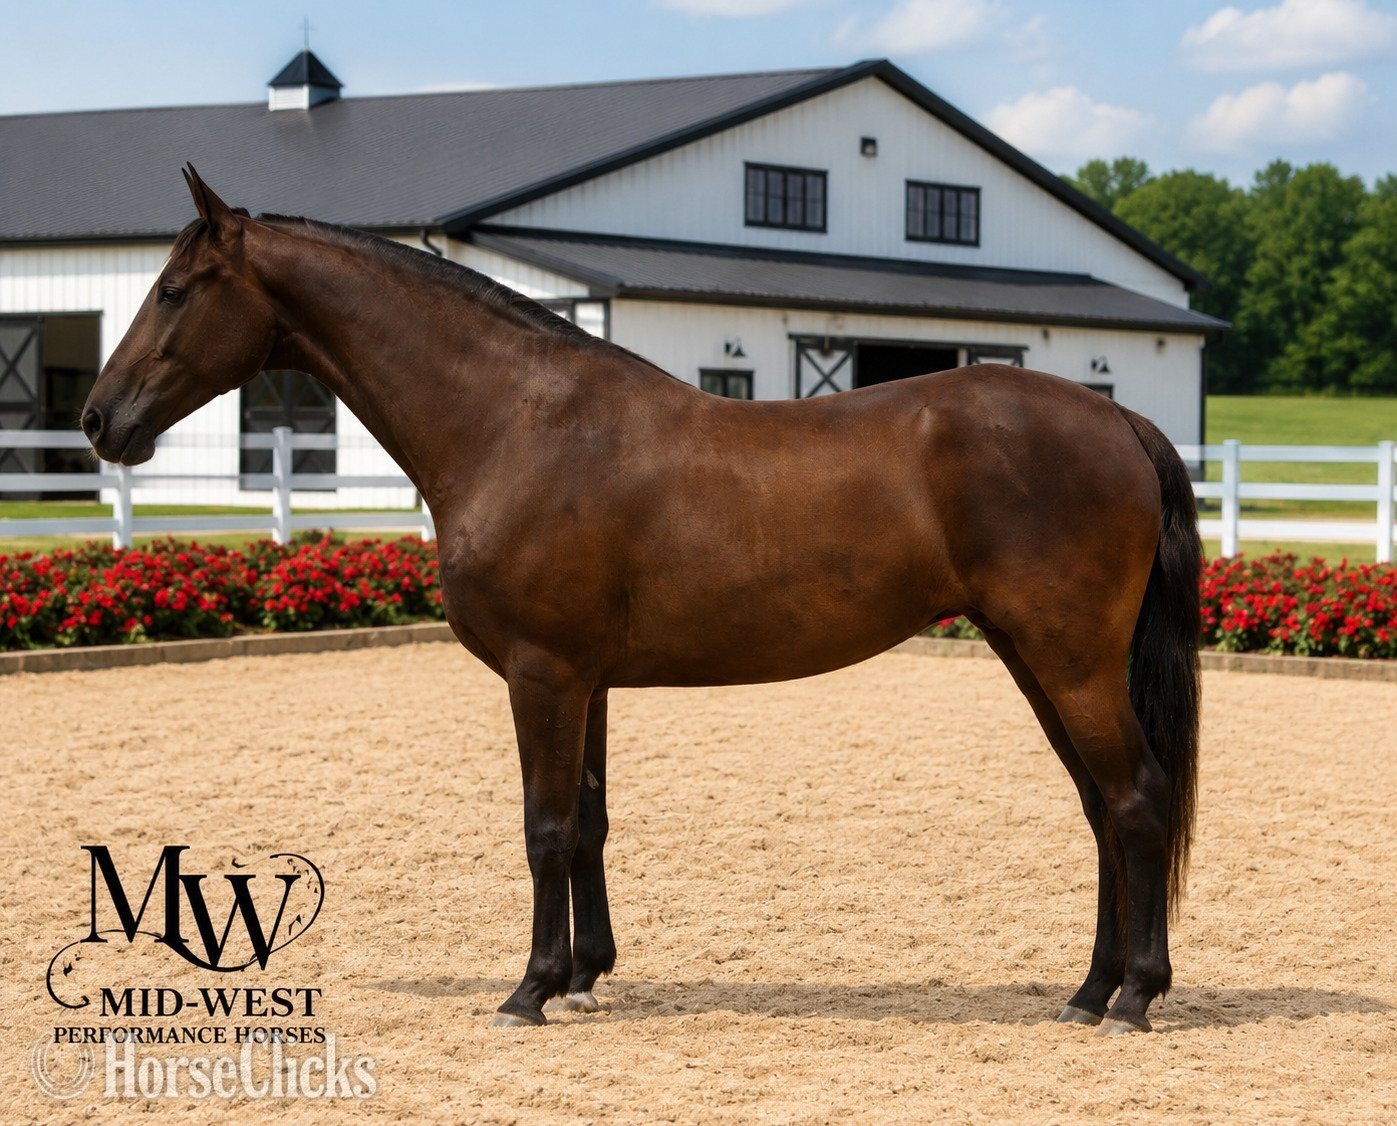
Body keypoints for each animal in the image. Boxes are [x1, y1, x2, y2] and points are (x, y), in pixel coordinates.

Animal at [82, 166, 1201, 1035]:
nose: (99, 420)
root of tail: (1121, 420)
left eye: (175, 290)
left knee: (1135, 800)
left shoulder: (542, 676)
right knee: (1101, 810)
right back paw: (1086, 990)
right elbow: (587, 823)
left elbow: (541, 826)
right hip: (1035, 657)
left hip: (1066, 660)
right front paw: (584, 976)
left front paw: (529, 990)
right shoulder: (588, 682)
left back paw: (1132, 997)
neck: (516, 422)